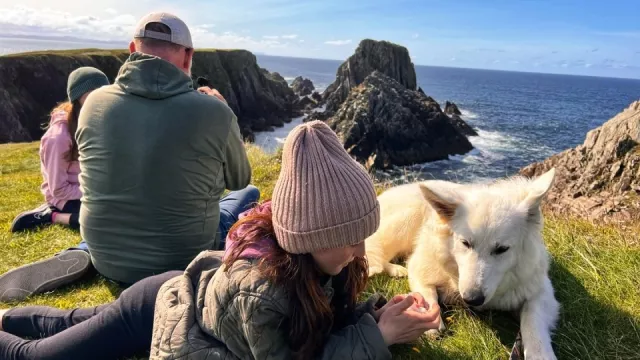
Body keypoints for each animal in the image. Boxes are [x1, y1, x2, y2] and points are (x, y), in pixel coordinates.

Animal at [368, 169, 556, 360]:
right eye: (465, 243)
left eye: (502, 249)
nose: (472, 299)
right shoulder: (418, 266)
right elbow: (427, 294)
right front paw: (428, 320)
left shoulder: (541, 292)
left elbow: (532, 319)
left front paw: (540, 354)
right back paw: (396, 269)